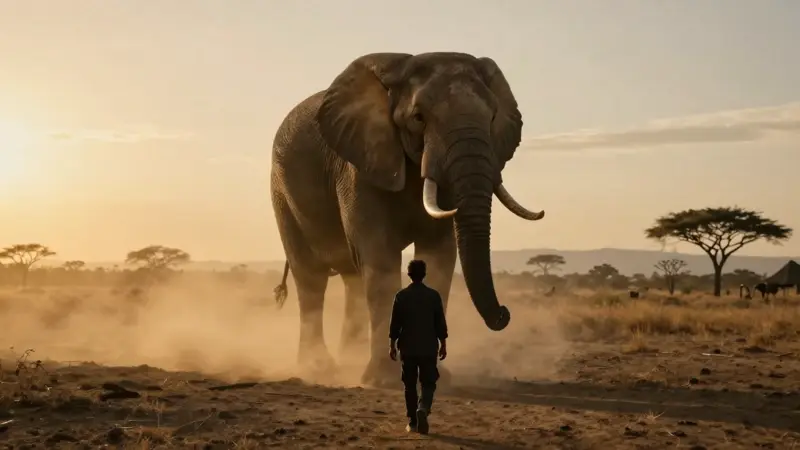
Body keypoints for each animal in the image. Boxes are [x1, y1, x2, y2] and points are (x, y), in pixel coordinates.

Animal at [269, 52, 544, 386]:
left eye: (492, 118)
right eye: (418, 118)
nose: (504, 314)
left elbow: (439, 256)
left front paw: (434, 373)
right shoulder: (361, 163)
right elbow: (380, 257)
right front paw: (385, 379)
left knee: (351, 278)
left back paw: (349, 360)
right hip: (281, 194)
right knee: (311, 277)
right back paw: (319, 369)